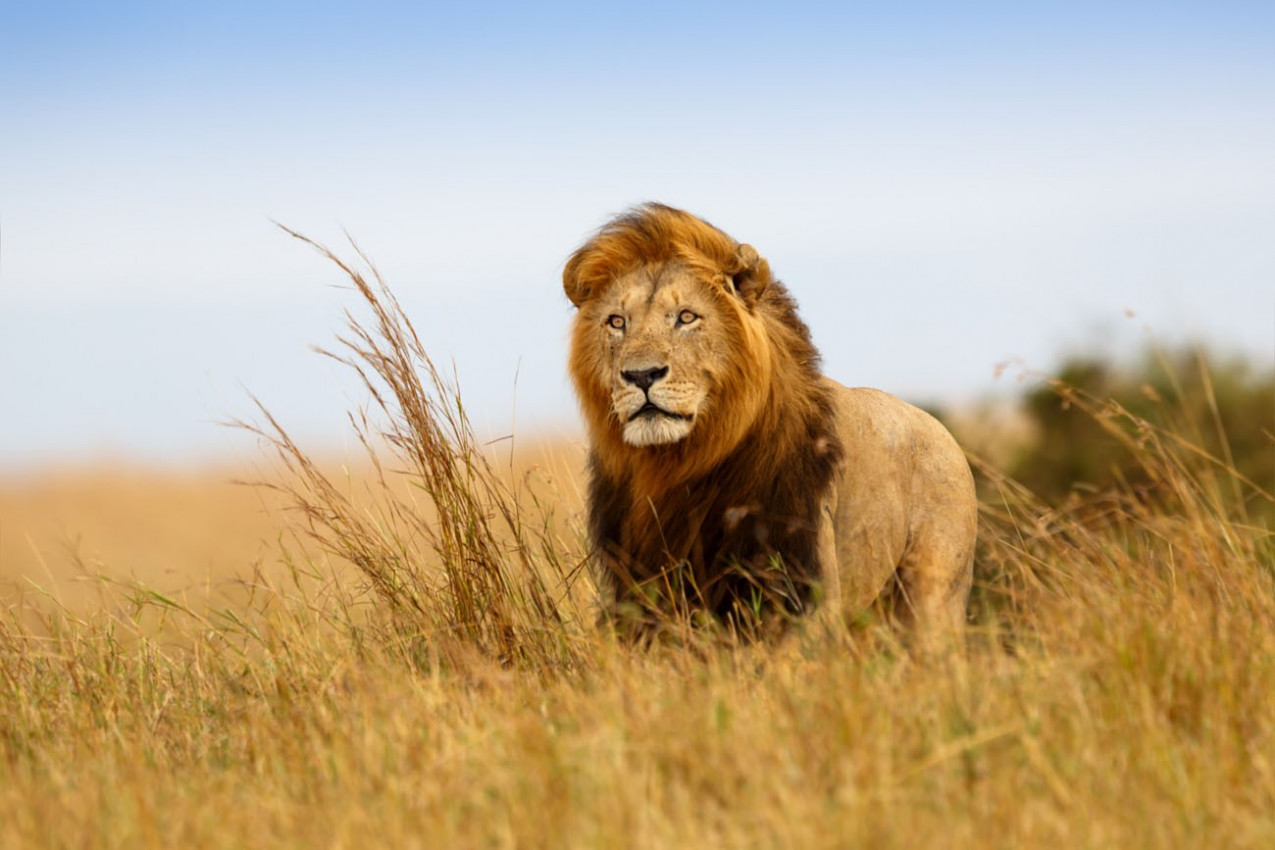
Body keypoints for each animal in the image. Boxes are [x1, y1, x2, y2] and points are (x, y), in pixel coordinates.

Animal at [561, 203, 974, 644]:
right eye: (617, 322)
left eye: (687, 317)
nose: (641, 375)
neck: (678, 464)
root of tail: (943, 433)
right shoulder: (640, 589)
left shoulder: (802, 585)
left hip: (933, 597)